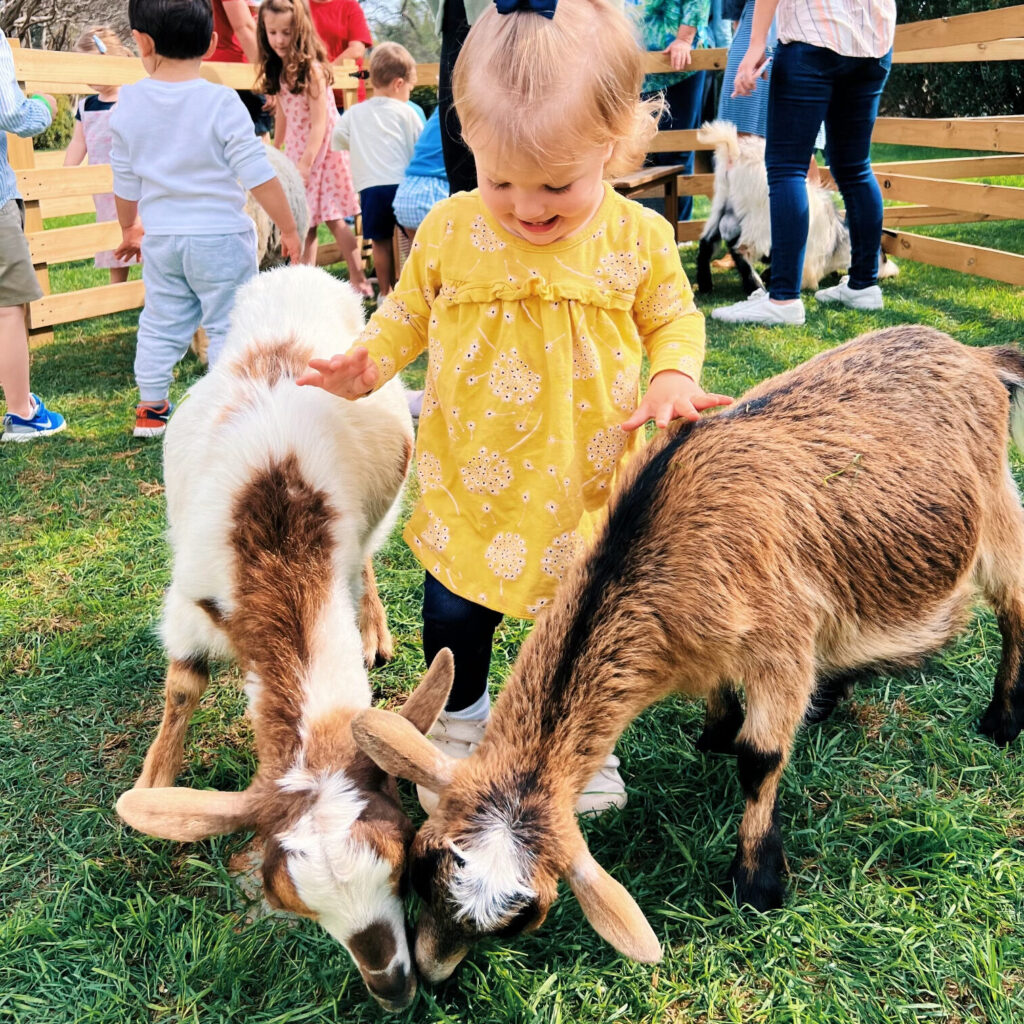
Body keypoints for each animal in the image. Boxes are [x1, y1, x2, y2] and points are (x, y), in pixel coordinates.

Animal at [114, 262, 450, 1007]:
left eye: (399, 867)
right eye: (297, 904)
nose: (392, 987)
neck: (274, 525)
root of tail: (295, 269)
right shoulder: (191, 599)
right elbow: (183, 685)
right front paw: (156, 777)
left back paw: (375, 634)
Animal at [350, 325, 1024, 974]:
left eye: (526, 916)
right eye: (420, 862)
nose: (431, 975)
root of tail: (977, 357)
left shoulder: (783, 639)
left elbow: (760, 757)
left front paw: (756, 881)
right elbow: (726, 708)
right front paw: (716, 733)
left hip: (997, 508)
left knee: (1014, 603)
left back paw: (1002, 719)